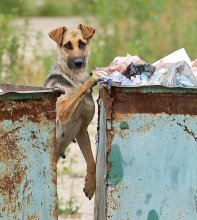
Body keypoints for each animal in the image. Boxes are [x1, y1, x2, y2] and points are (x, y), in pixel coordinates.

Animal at [44, 24, 106, 199]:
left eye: (82, 44)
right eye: (67, 45)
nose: (79, 63)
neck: (73, 78)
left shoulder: (82, 130)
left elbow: (91, 161)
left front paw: (90, 185)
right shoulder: (62, 111)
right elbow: (79, 90)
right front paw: (93, 78)